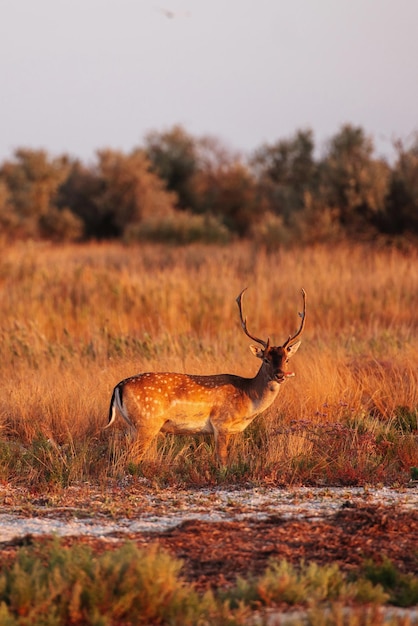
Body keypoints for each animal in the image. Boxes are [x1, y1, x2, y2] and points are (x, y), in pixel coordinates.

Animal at [106, 288, 306, 464]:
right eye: (265, 359)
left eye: (287, 359)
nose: (280, 375)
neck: (248, 398)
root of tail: (118, 387)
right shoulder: (222, 423)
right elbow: (222, 460)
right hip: (147, 422)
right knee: (130, 457)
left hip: (133, 425)